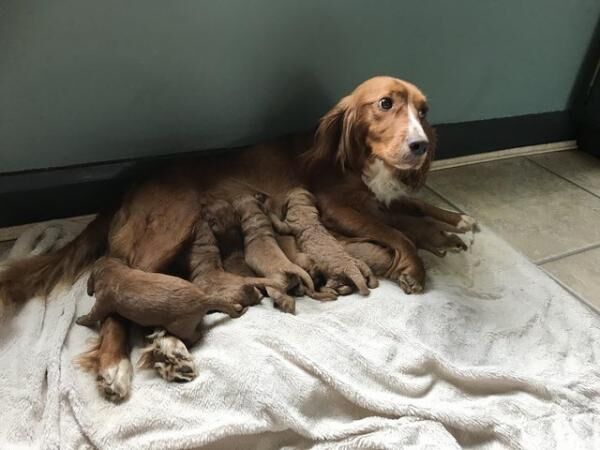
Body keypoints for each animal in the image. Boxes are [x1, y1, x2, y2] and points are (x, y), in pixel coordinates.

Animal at [2, 76, 476, 400]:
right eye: (385, 104)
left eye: (424, 111)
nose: (420, 145)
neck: (361, 159)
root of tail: (129, 186)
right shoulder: (339, 207)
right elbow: (397, 230)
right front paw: (416, 263)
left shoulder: (373, 200)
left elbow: (412, 209)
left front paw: (454, 220)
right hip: (171, 230)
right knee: (119, 295)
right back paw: (116, 365)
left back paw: (170, 350)